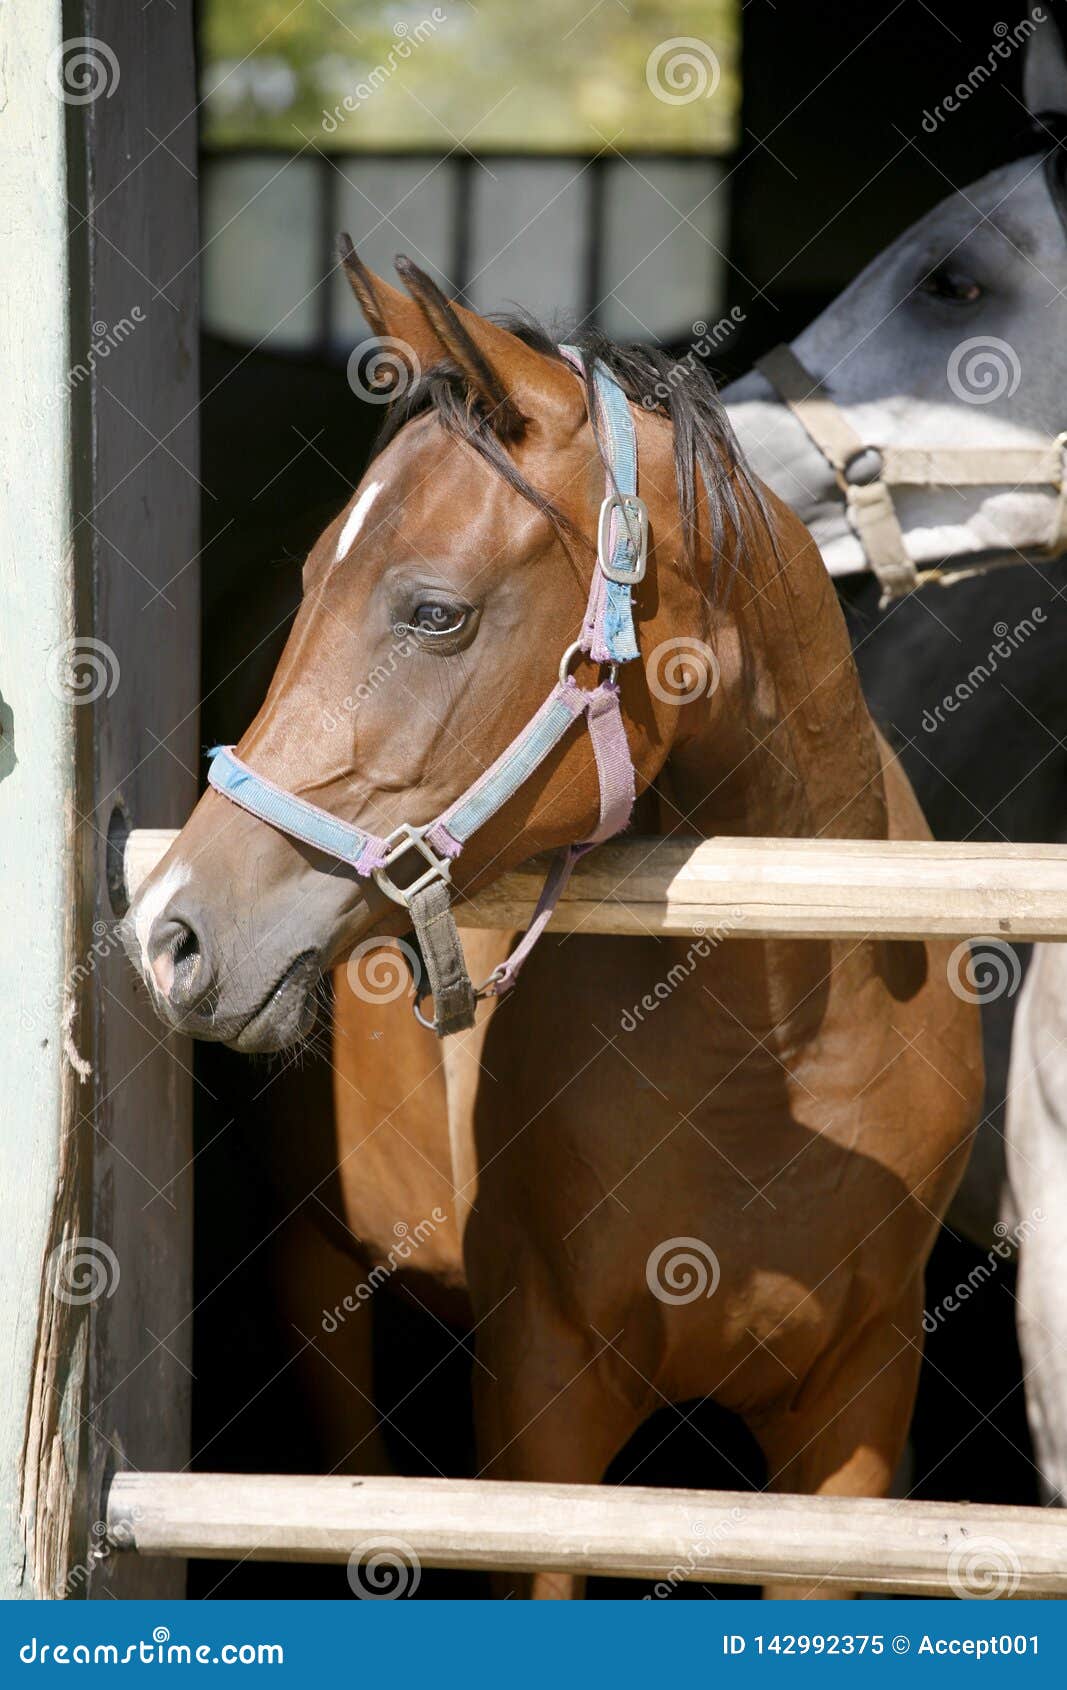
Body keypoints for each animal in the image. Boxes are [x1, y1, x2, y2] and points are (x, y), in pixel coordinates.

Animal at [127, 245, 987, 1588]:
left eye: (433, 612)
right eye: (317, 583)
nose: (169, 930)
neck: (773, 1054)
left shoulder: (853, 1419)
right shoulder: (542, 1404)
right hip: (315, 1261)